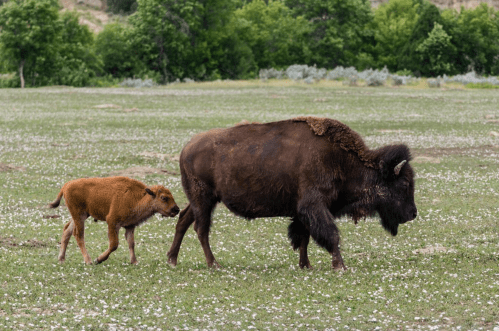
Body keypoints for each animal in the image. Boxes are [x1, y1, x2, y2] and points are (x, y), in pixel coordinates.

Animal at [48, 178, 181, 266]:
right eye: (164, 198)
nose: (176, 209)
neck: (138, 197)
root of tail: (66, 185)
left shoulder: (130, 226)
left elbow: (131, 243)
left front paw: (134, 261)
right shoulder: (112, 222)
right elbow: (114, 244)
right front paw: (99, 259)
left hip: (82, 215)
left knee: (67, 231)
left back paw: (61, 259)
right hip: (79, 216)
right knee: (78, 235)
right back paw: (89, 261)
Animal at [168, 116, 418, 270]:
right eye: (404, 184)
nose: (413, 213)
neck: (342, 161)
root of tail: (187, 148)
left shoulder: (302, 211)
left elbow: (304, 236)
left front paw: (305, 265)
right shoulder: (314, 206)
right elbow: (330, 234)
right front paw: (340, 266)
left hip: (200, 200)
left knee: (184, 220)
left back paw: (172, 259)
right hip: (204, 199)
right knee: (201, 229)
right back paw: (213, 264)